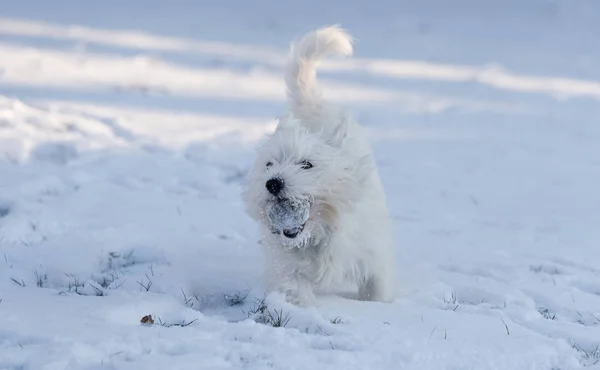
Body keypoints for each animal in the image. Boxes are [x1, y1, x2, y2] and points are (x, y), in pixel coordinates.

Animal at [241, 24, 396, 304]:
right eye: (269, 164)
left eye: (306, 164)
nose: (273, 183)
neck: (319, 233)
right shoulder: (287, 265)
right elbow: (296, 287)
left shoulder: (374, 256)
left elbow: (377, 289)